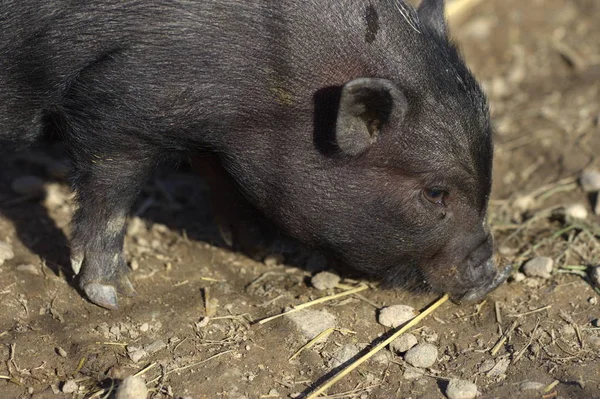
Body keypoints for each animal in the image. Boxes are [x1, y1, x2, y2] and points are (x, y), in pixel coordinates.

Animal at [0, 0, 510, 310]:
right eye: (435, 192)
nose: (493, 276)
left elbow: (220, 174)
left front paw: (266, 249)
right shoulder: (114, 105)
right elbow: (111, 191)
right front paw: (116, 295)